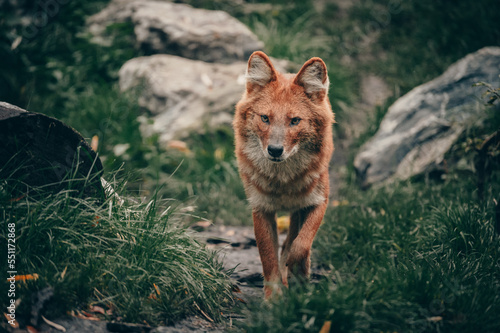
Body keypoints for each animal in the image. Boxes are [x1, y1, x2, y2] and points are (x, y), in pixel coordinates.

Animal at [233, 52, 334, 298]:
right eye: (265, 118)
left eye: (294, 121)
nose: (275, 150)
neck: (283, 181)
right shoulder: (261, 208)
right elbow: (269, 258)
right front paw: (273, 298)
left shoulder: (319, 201)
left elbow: (300, 245)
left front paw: (298, 273)